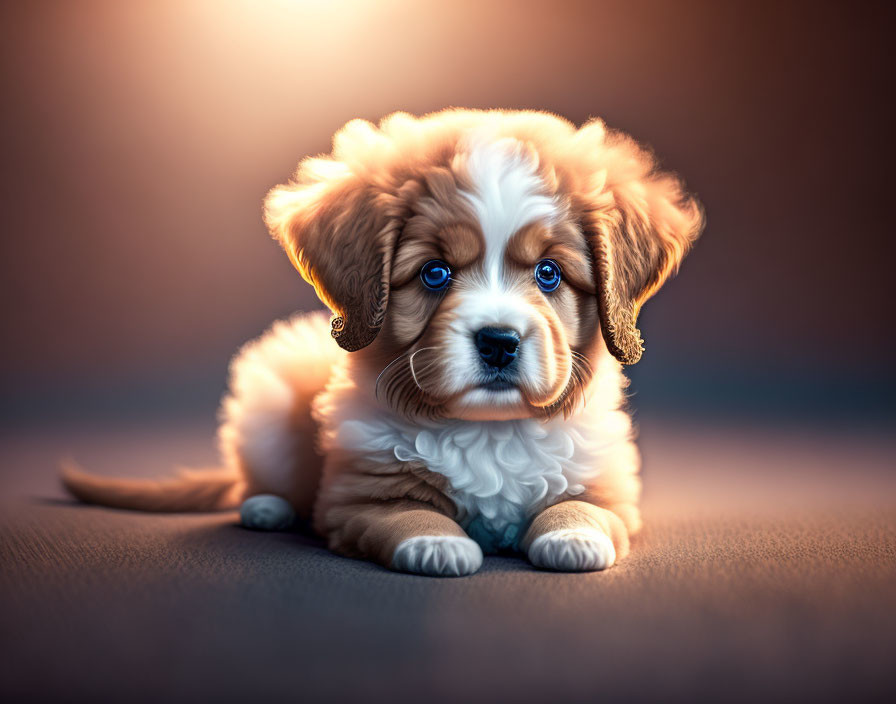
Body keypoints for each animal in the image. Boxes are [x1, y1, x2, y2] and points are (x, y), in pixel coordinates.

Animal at [65, 107, 708, 576]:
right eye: (434, 273)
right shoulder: (357, 499)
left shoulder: (609, 483)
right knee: (260, 478)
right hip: (268, 412)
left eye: (549, 273)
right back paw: (267, 507)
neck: (489, 431)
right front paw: (438, 546)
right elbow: (405, 516)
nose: (498, 342)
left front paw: (574, 536)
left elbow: (585, 506)